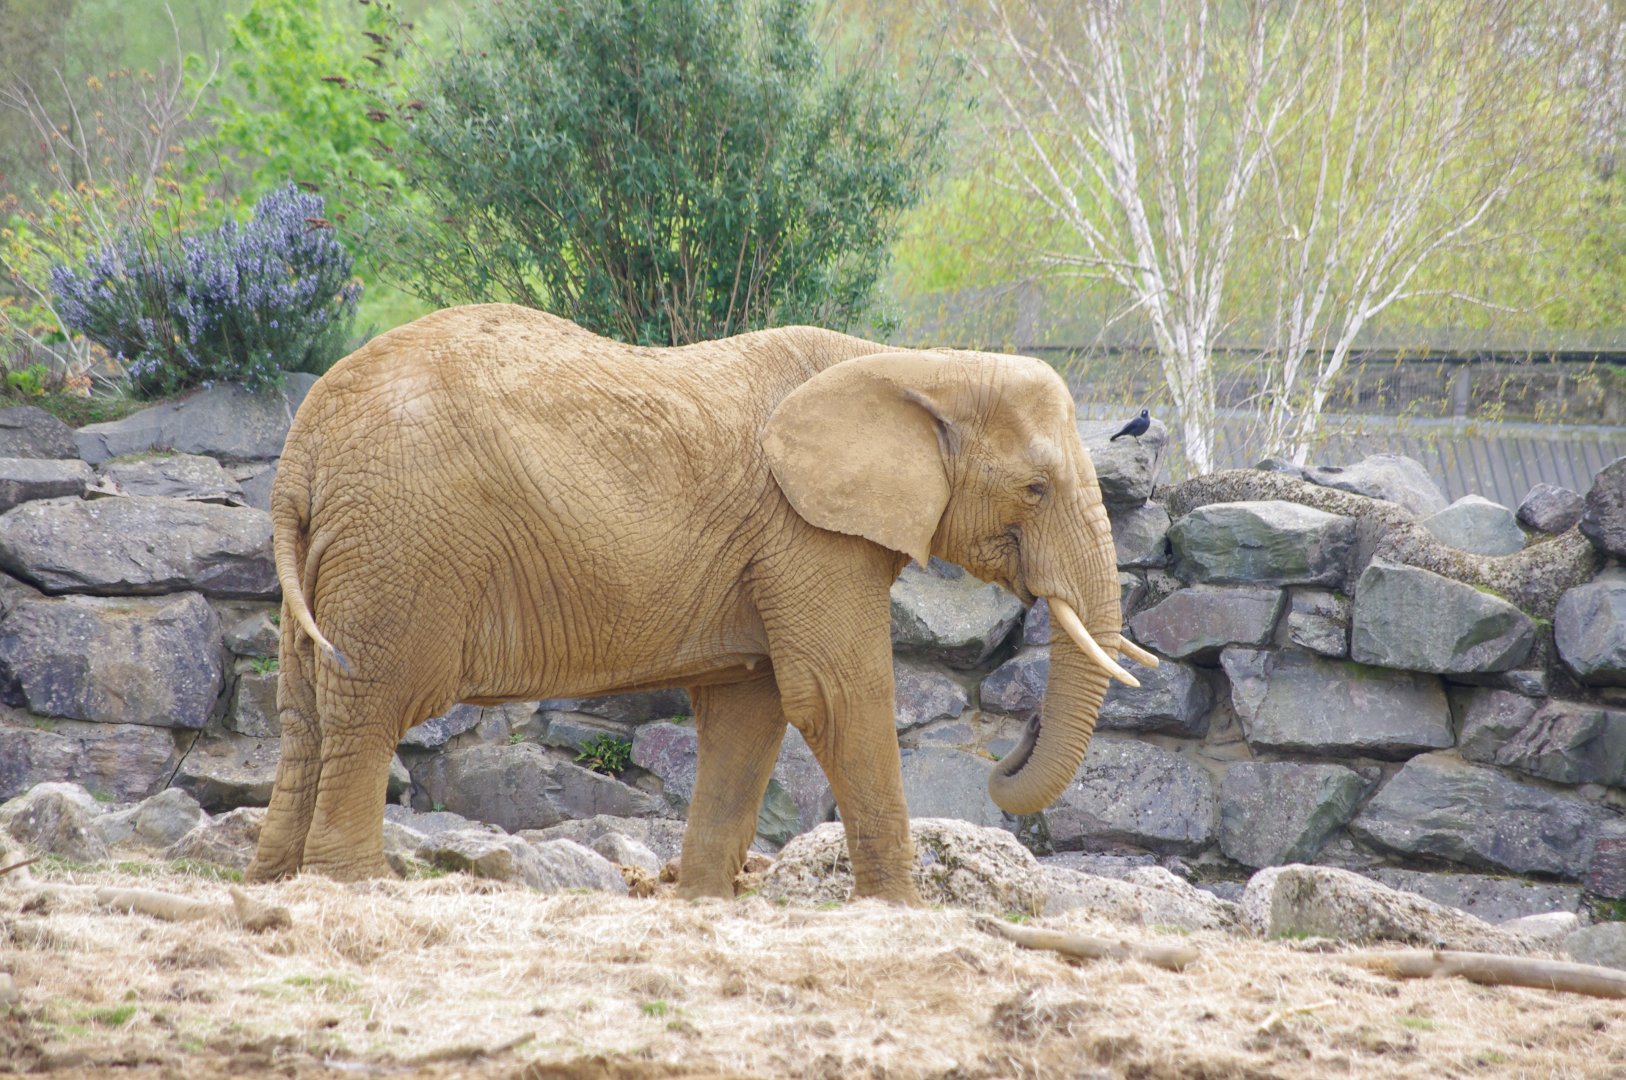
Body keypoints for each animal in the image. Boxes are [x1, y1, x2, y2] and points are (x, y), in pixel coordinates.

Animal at [246, 303, 1154, 903]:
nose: (1013, 744)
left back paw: (272, 881)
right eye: (1036, 490)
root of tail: (304, 444)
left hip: (348, 548)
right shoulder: (804, 531)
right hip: (403, 545)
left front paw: (703, 903)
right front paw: (903, 911)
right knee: (373, 701)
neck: (913, 364)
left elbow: (751, 708)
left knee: (305, 709)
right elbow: (836, 695)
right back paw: (357, 885)